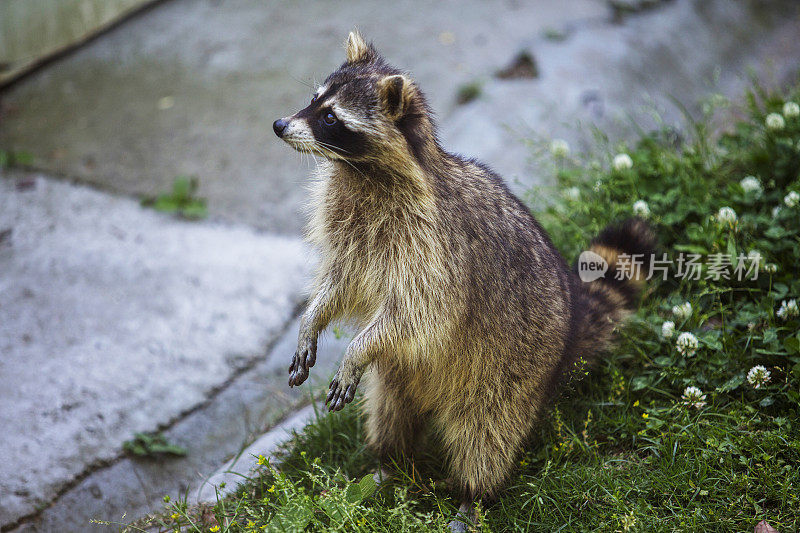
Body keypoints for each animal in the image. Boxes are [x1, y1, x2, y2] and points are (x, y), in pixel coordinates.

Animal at [272, 31, 652, 524]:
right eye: (314, 99)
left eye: (331, 117)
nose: (279, 124)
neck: (363, 171)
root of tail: (570, 322)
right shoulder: (351, 229)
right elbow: (341, 282)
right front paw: (311, 319)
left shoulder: (433, 246)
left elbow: (418, 311)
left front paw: (356, 349)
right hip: (401, 374)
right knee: (389, 410)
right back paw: (388, 462)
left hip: (513, 367)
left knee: (486, 432)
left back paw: (473, 493)